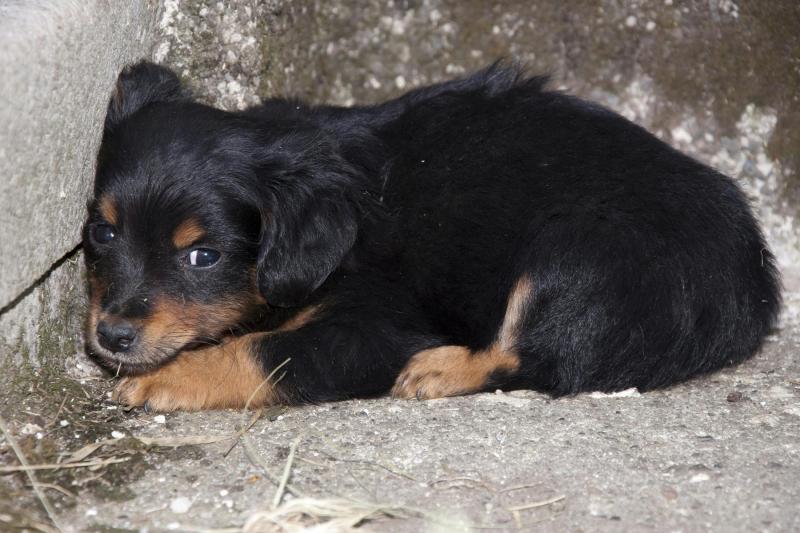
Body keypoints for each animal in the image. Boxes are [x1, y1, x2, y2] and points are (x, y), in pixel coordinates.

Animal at [83, 61, 780, 412]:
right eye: (101, 234)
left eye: (203, 256)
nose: (110, 337)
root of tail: (755, 289)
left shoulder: (378, 327)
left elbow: (260, 350)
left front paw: (165, 378)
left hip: (576, 253)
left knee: (538, 357)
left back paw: (441, 369)